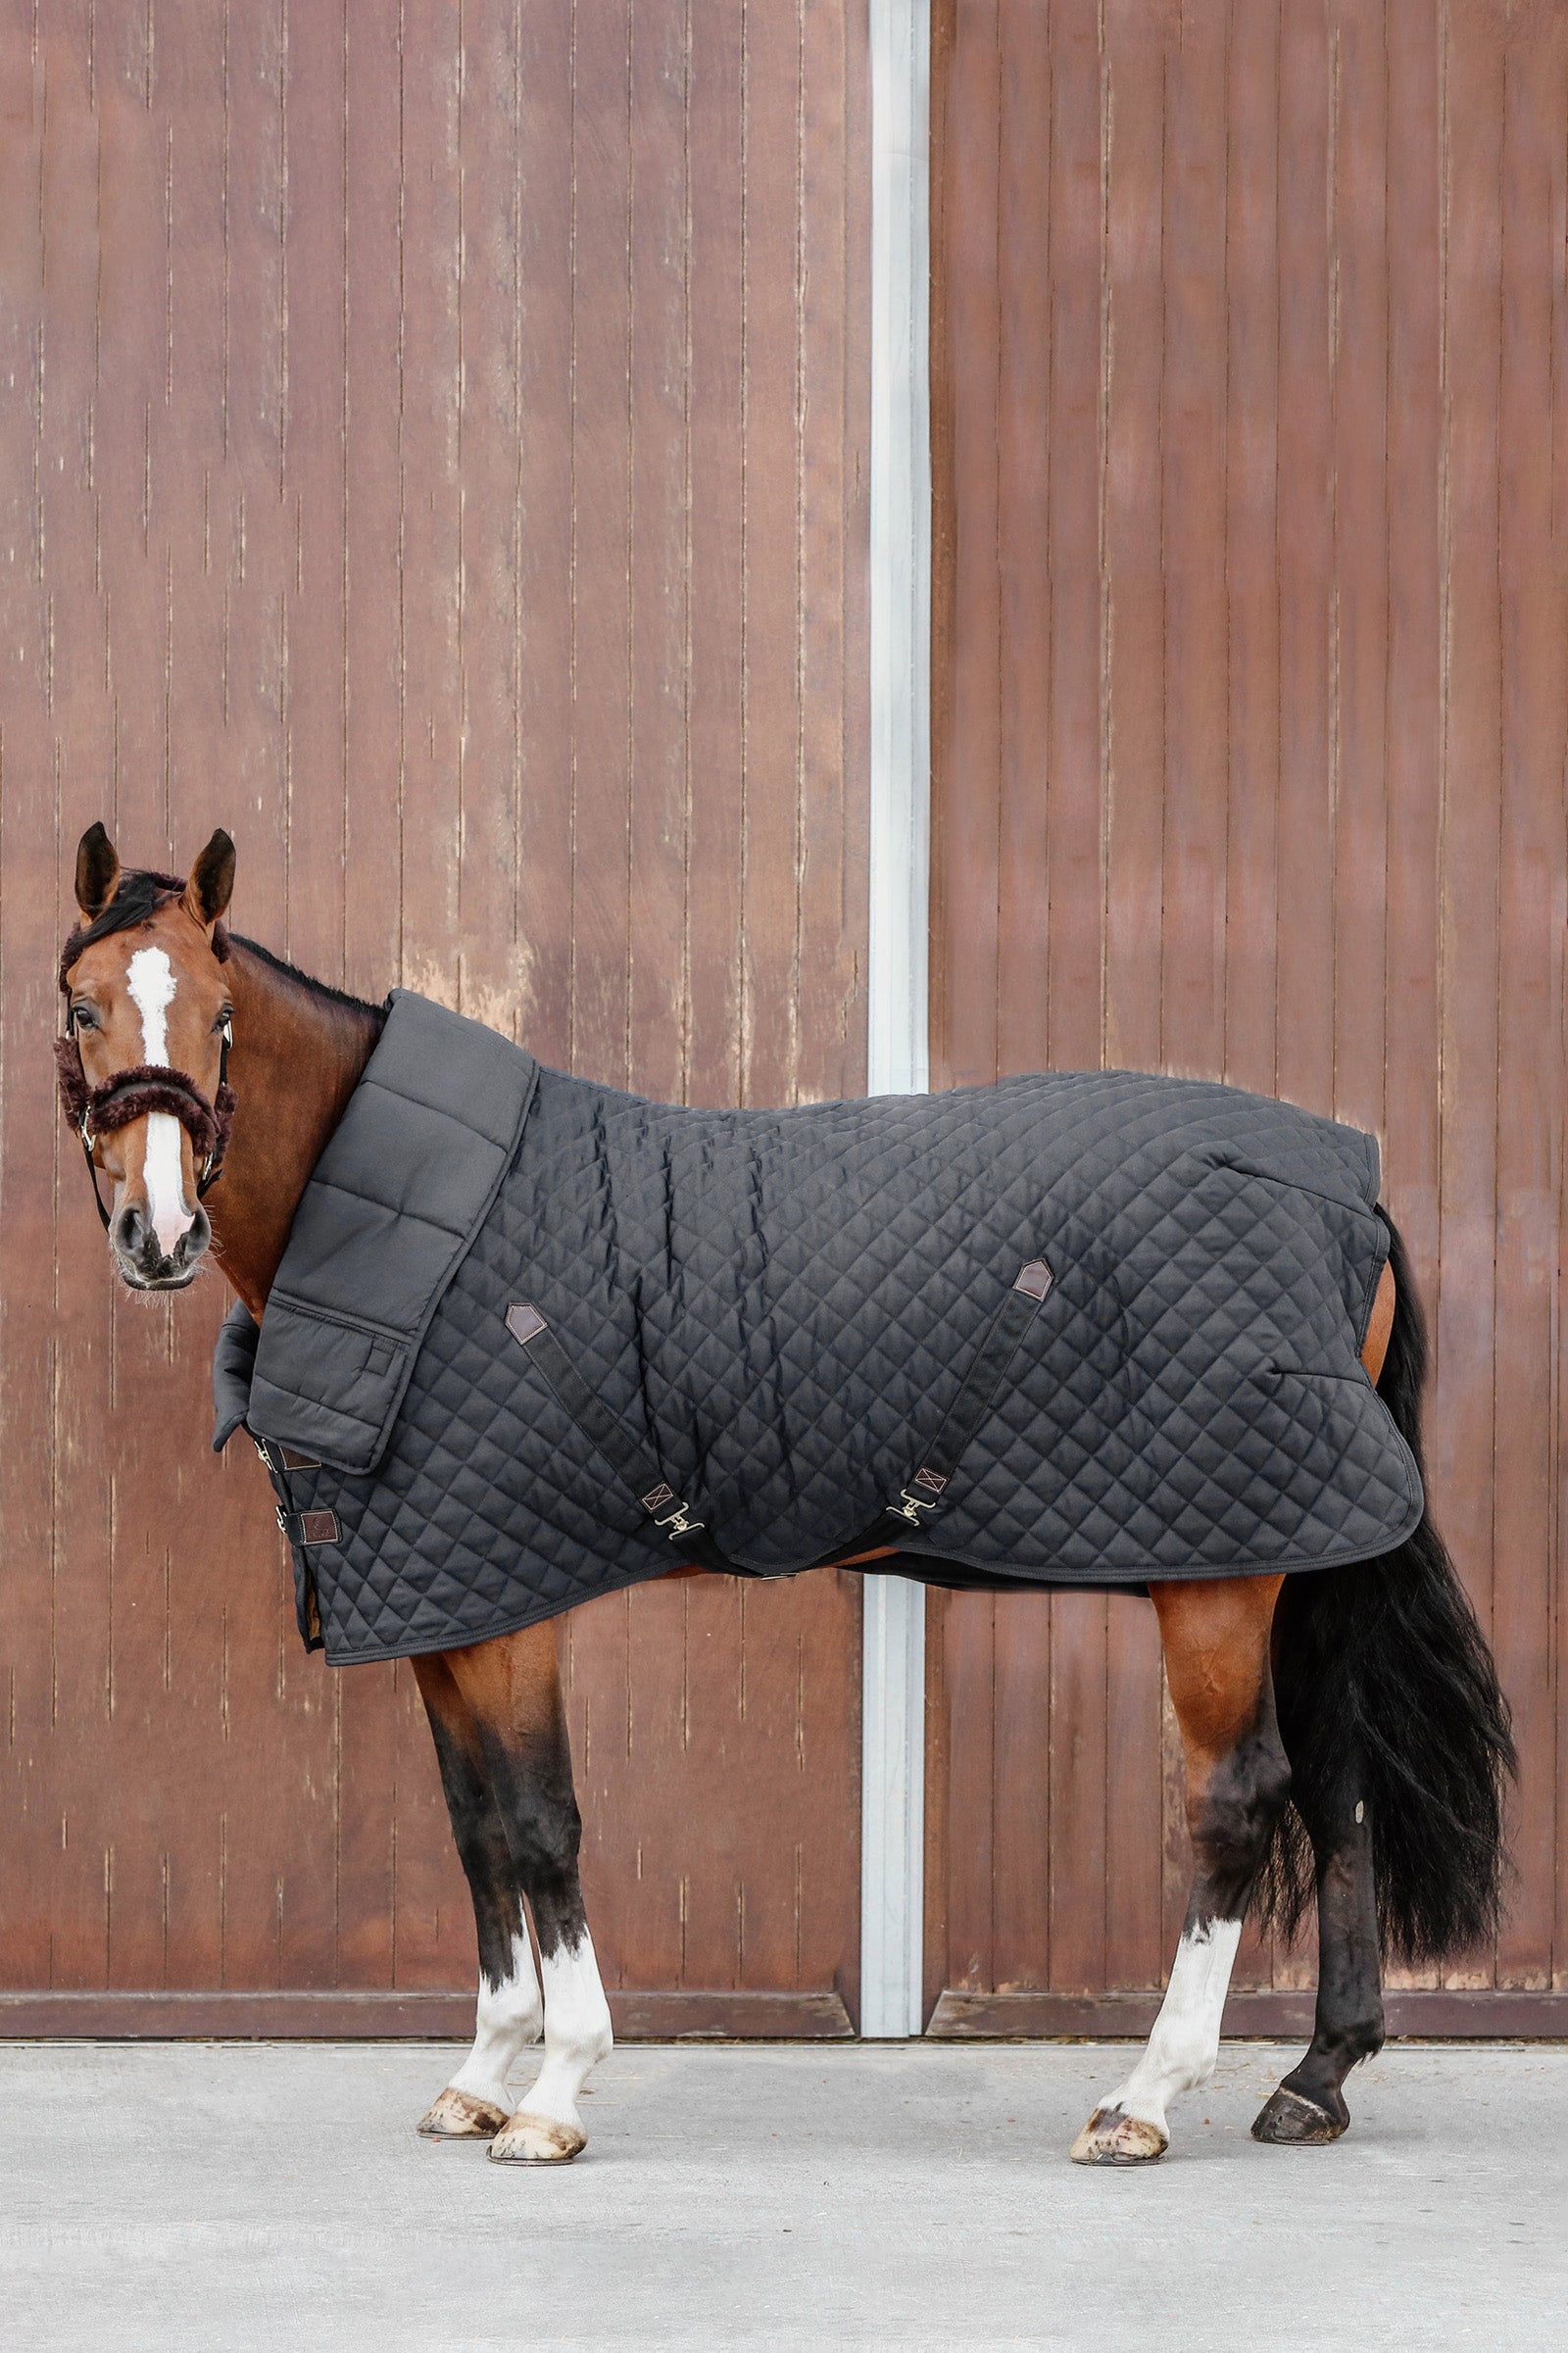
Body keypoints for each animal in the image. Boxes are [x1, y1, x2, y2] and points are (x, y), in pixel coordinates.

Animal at [55, 823, 1514, 2166]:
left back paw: (1145, 2097)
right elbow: (474, 1832)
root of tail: (1350, 1195)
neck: (420, 1236)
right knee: (1337, 1782)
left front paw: (556, 2090)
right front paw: (479, 2073)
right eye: (79, 1003)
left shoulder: (514, 1610)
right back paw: (1314, 2077)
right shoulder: (440, 1609)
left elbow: (540, 1825)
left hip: (1218, 1578)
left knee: (1238, 1798)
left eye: (221, 1012)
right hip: (1292, 1551)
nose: (160, 1236)